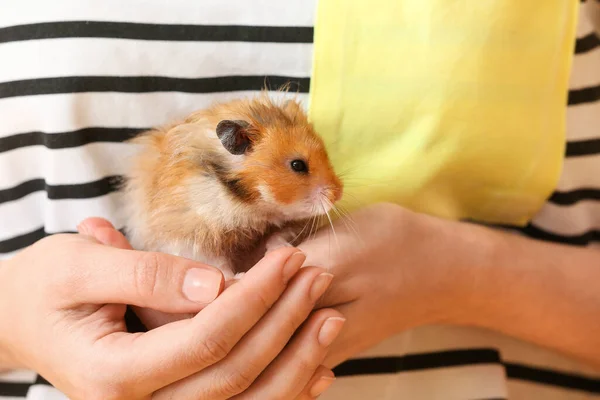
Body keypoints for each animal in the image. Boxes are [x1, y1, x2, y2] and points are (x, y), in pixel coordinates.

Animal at [120, 93, 342, 282]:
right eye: (298, 165)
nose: (338, 194)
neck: (251, 205)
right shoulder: (191, 234)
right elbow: (216, 264)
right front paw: (238, 277)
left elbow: (278, 234)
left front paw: (279, 248)